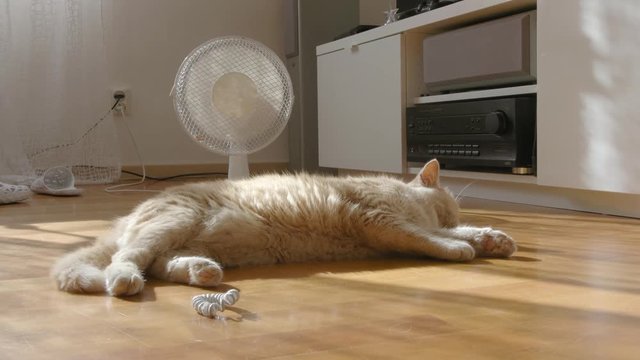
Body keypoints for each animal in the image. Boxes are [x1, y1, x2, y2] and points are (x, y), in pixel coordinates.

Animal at [52, 159, 516, 296]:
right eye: (446, 209)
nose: (452, 218)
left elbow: (453, 234)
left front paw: (491, 238)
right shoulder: (382, 220)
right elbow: (430, 239)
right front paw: (464, 245)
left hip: (181, 238)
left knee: (160, 264)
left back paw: (202, 271)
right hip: (173, 221)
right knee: (125, 259)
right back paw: (125, 281)